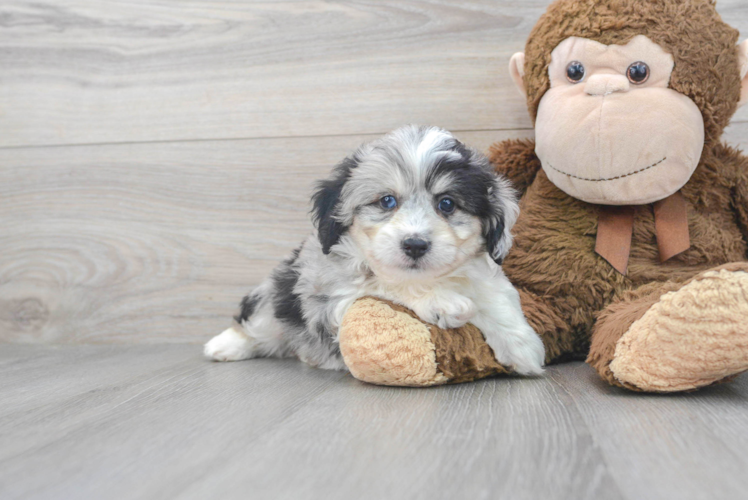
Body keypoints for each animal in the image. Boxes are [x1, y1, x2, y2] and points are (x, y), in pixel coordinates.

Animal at [205, 125, 544, 376]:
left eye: (447, 203)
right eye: (386, 201)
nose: (415, 244)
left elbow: (497, 296)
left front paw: (521, 343)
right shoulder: (331, 293)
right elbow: (384, 281)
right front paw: (442, 301)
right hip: (277, 291)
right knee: (259, 322)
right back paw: (224, 346)